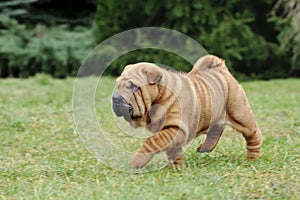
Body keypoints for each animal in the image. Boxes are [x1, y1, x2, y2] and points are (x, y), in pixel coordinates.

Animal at [112, 54, 262, 169]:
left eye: (134, 87)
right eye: (117, 85)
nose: (115, 98)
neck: (161, 96)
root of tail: (221, 68)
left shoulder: (175, 128)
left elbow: (152, 141)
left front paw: (136, 161)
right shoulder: (171, 132)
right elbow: (173, 150)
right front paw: (176, 167)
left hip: (239, 113)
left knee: (253, 134)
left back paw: (251, 159)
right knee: (217, 129)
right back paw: (206, 147)